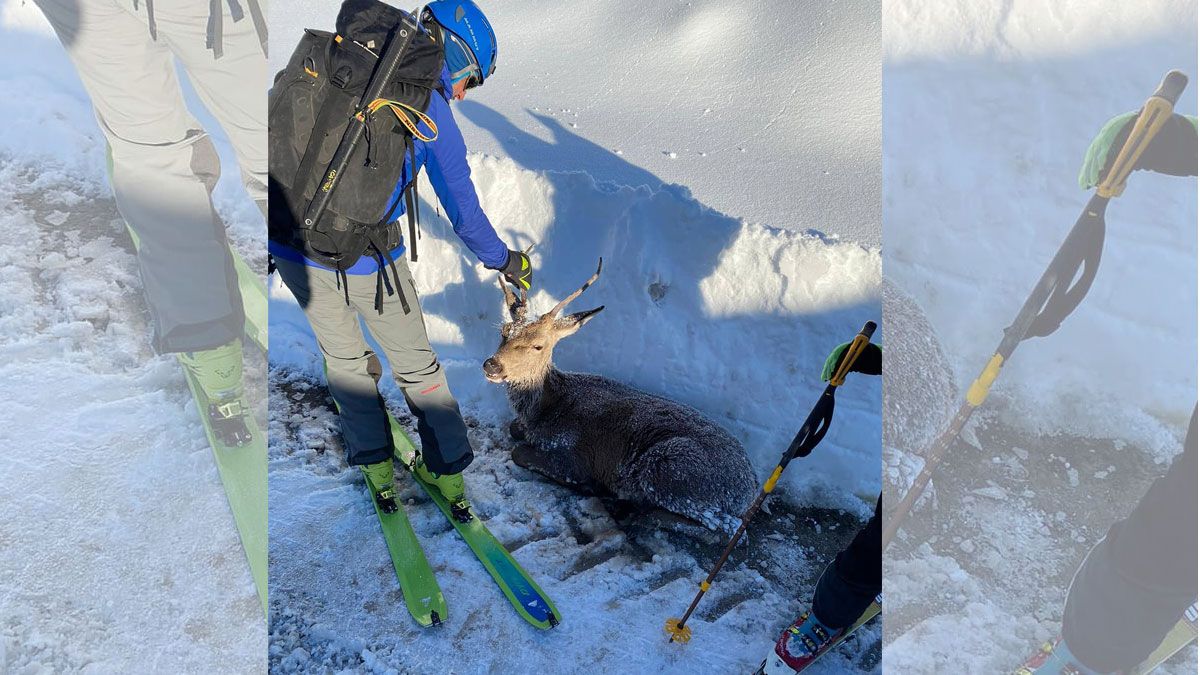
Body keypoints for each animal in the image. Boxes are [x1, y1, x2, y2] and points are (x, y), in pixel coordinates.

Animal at [482, 260, 753, 533]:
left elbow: (519, 453)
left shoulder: (575, 455)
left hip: (670, 464)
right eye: (504, 331)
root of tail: (747, 494)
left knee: (725, 526)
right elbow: (514, 427)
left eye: (538, 345)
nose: (492, 365)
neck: (547, 409)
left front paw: (588, 484)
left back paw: (631, 508)